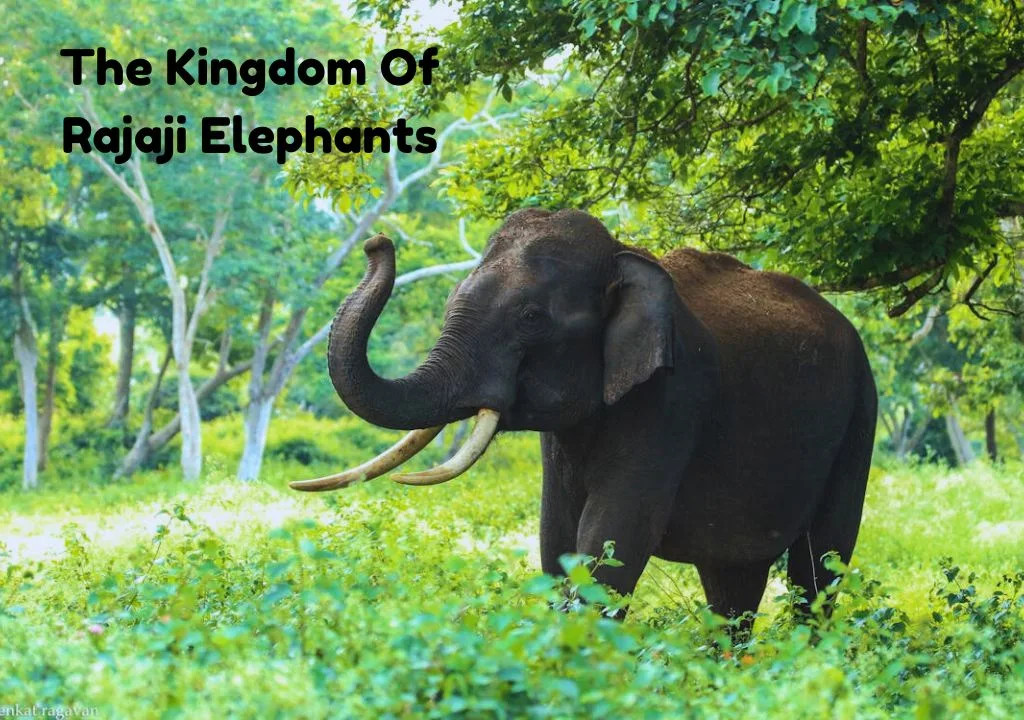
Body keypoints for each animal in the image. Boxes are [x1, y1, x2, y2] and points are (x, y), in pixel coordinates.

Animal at [292, 208, 877, 625]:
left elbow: (612, 538)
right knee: (733, 584)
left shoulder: (672, 398)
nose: (377, 242)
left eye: (531, 317)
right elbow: (557, 539)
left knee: (819, 567)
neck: (623, 255)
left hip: (860, 415)